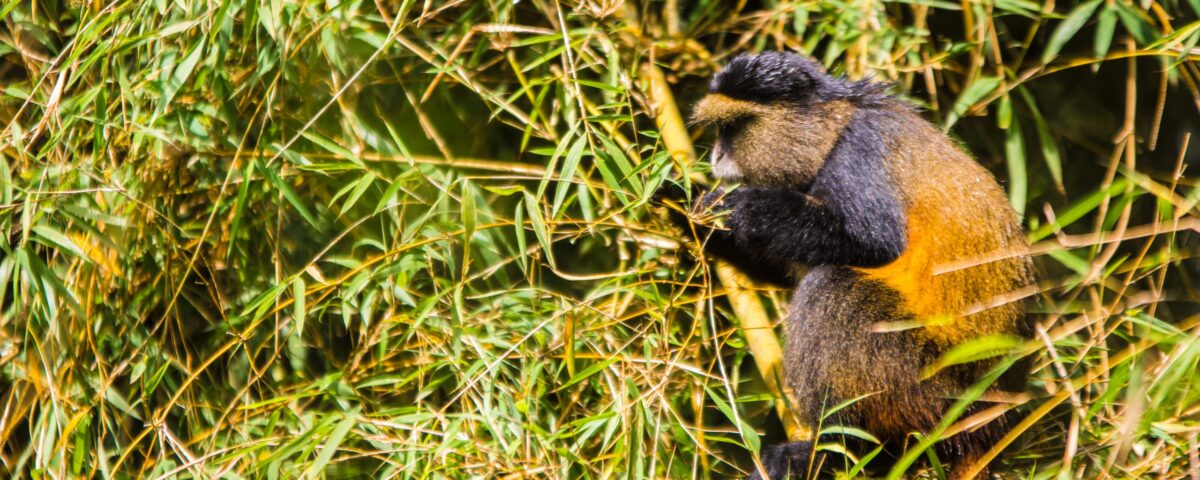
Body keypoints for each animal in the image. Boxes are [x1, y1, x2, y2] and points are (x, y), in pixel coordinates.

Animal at [665, 52, 1035, 479]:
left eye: (735, 127)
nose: (717, 156)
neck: (836, 125)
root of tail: (991, 429)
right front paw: (683, 208)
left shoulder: (858, 153)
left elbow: (875, 244)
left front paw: (741, 206)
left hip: (931, 394)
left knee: (833, 288)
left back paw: (836, 447)